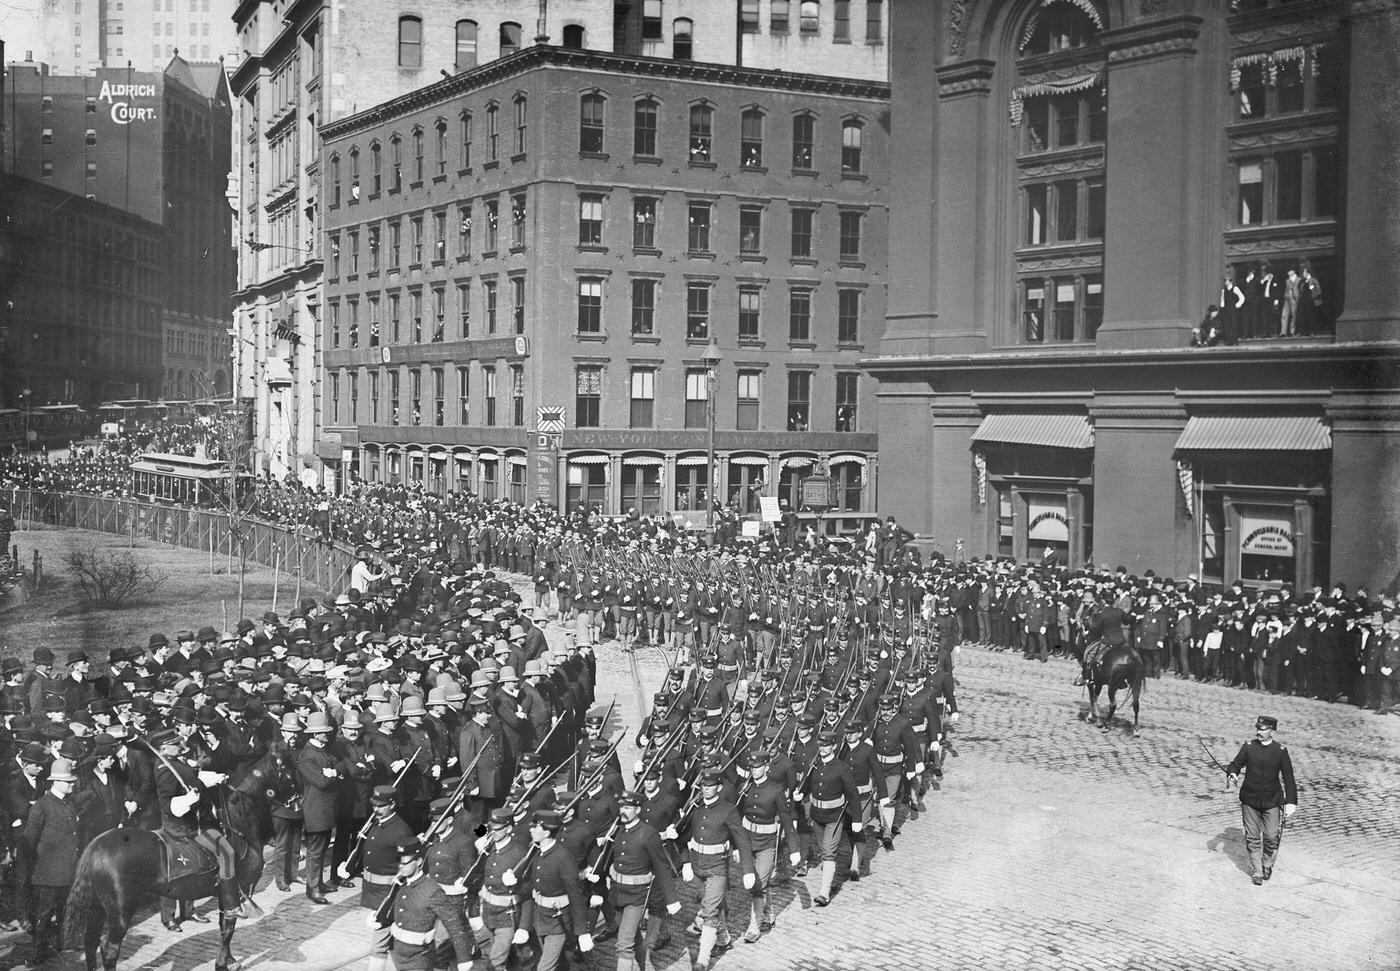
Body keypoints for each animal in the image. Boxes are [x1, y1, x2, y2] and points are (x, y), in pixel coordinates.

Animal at [63, 761, 280, 971]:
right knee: (109, 949)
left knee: (90, 942)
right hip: (120, 912)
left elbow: (224, 926)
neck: (240, 828)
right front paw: (223, 963)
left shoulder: (224, 894)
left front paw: (229, 960)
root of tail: (95, 846)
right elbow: (228, 927)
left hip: (96, 908)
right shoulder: (238, 888)